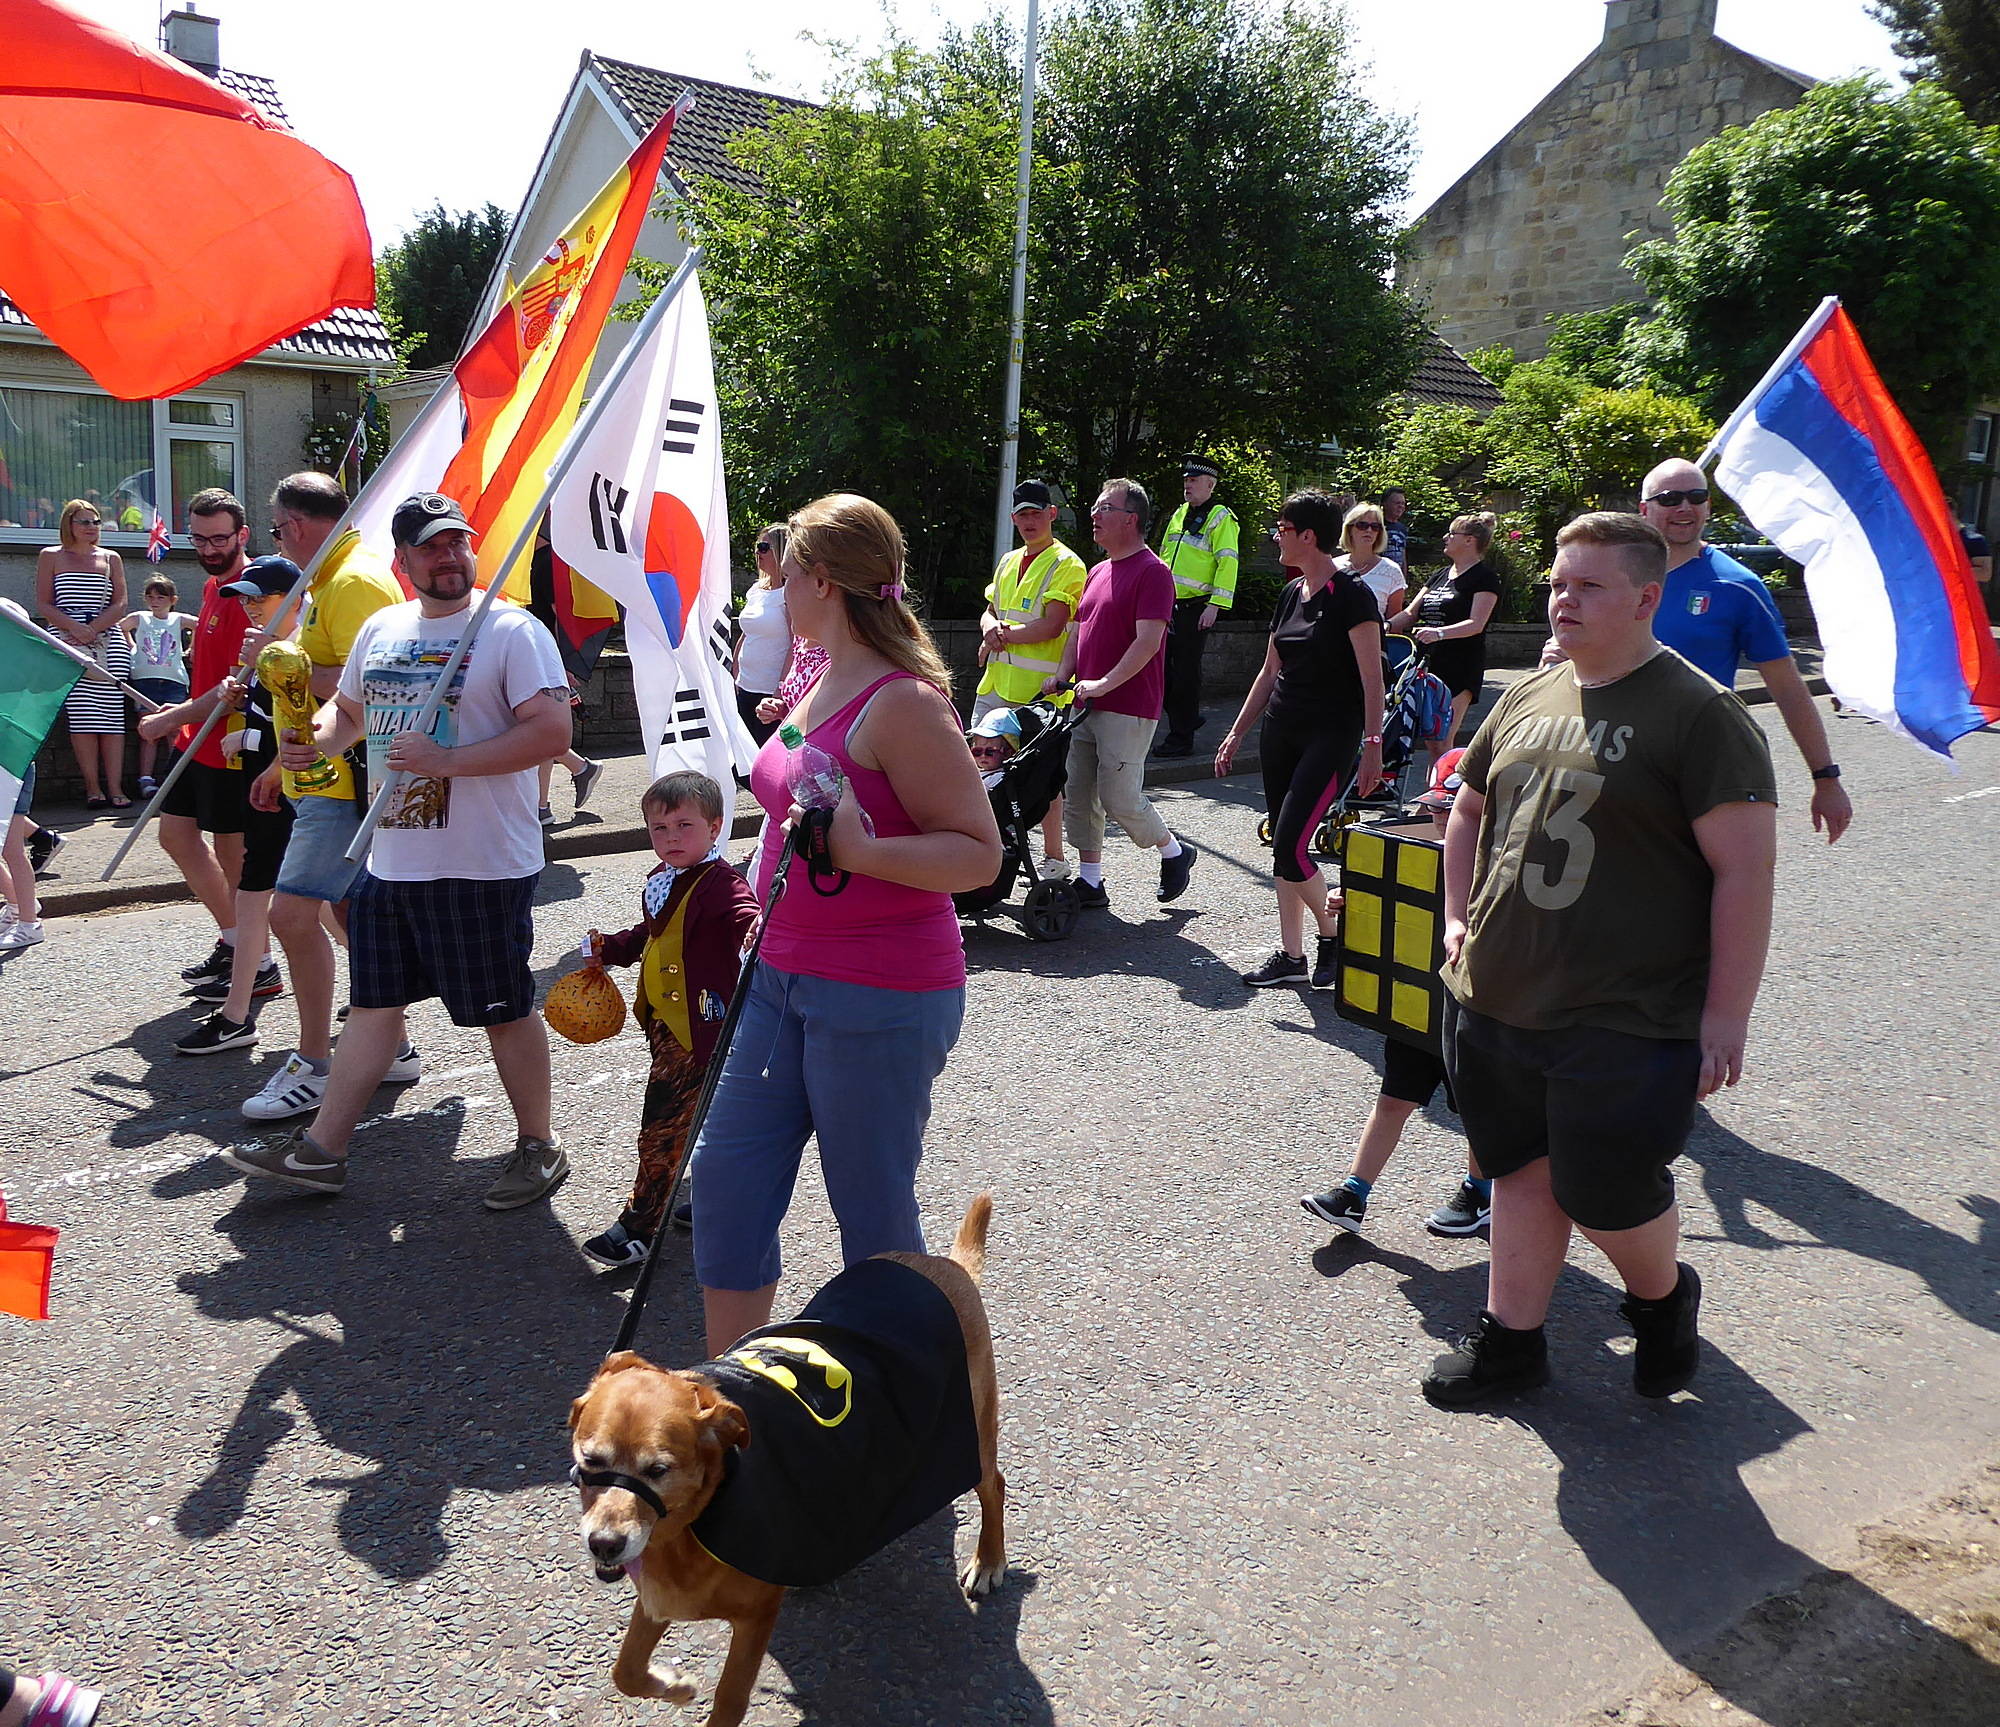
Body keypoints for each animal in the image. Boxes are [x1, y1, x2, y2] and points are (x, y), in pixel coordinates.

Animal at [568, 1191, 1008, 1719]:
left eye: (658, 1470)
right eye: (590, 1462)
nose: (604, 1544)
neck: (698, 1521)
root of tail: (944, 1267)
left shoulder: (753, 1619)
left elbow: (729, 1699)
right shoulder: (657, 1594)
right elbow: (627, 1670)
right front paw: (674, 1685)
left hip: (975, 1434)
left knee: (994, 1487)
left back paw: (989, 1560)